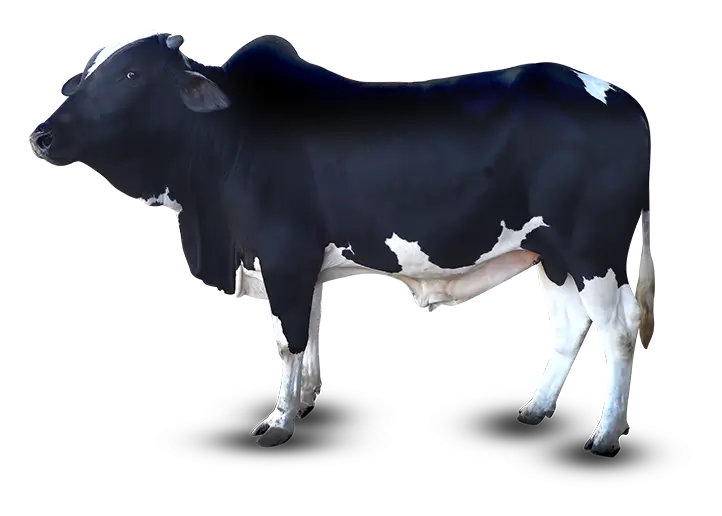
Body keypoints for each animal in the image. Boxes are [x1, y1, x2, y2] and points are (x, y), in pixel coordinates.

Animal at [29, 32, 655, 453]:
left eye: (131, 75)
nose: (43, 133)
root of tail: (612, 92)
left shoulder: (283, 255)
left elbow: (288, 338)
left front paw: (278, 422)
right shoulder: (296, 265)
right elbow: (304, 337)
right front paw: (302, 399)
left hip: (594, 247)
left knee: (618, 331)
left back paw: (605, 432)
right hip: (552, 252)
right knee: (572, 324)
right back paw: (538, 407)